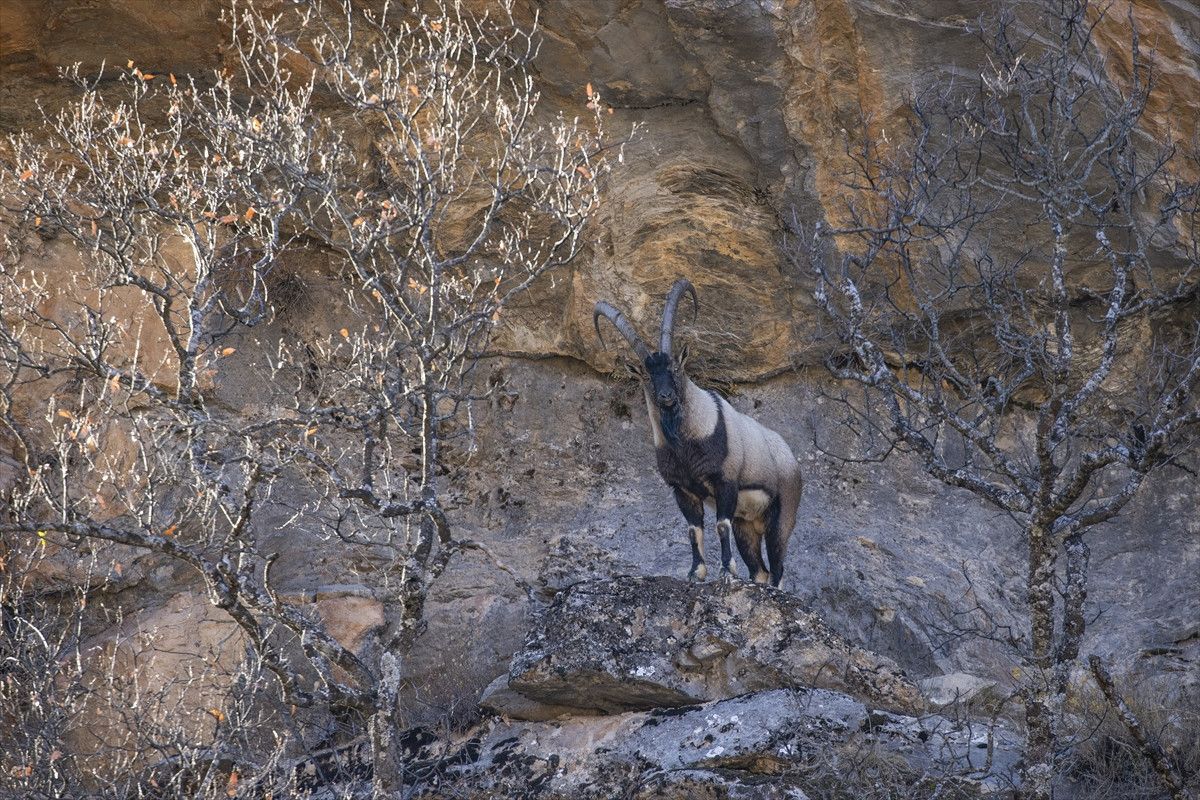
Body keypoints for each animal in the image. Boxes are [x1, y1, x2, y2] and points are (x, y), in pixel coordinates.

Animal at [594, 279, 803, 587]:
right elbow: (694, 531)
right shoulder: (683, 490)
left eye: (675, 367)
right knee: (760, 570)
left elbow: (720, 525)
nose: (666, 397)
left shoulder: (725, 482)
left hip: (781, 516)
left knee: (777, 568)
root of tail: (791, 459)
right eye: (646, 374)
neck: (686, 442)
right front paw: (696, 572)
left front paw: (726, 570)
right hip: (747, 524)